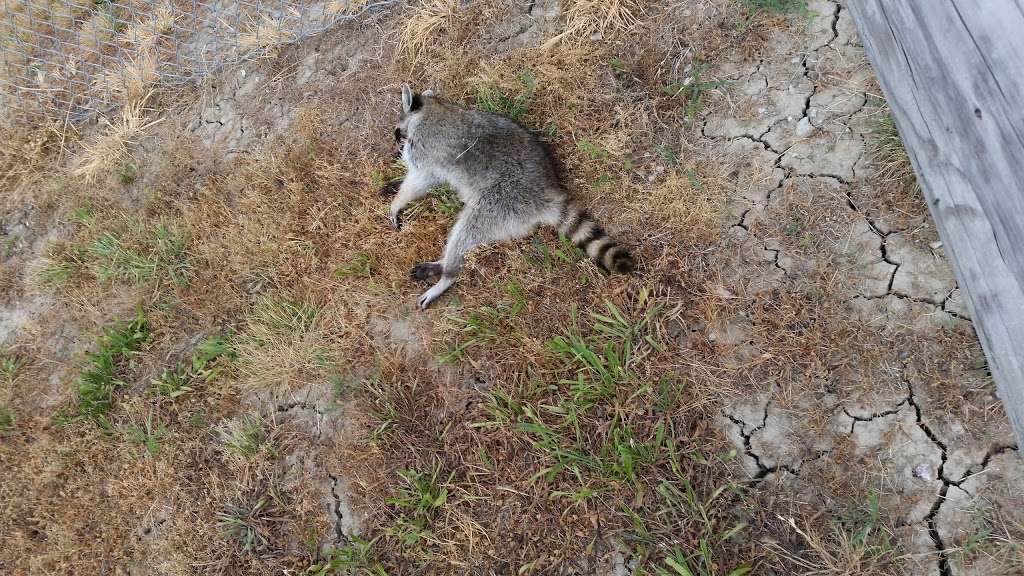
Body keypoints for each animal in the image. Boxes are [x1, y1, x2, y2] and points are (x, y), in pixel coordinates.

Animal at [382, 82, 630, 307]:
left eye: (397, 133)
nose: (395, 154)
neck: (431, 109)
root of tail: (546, 191)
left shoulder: (425, 147)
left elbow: (420, 179)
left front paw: (398, 201)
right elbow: (427, 181)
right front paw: (397, 185)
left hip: (503, 199)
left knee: (468, 229)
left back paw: (448, 273)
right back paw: (443, 264)